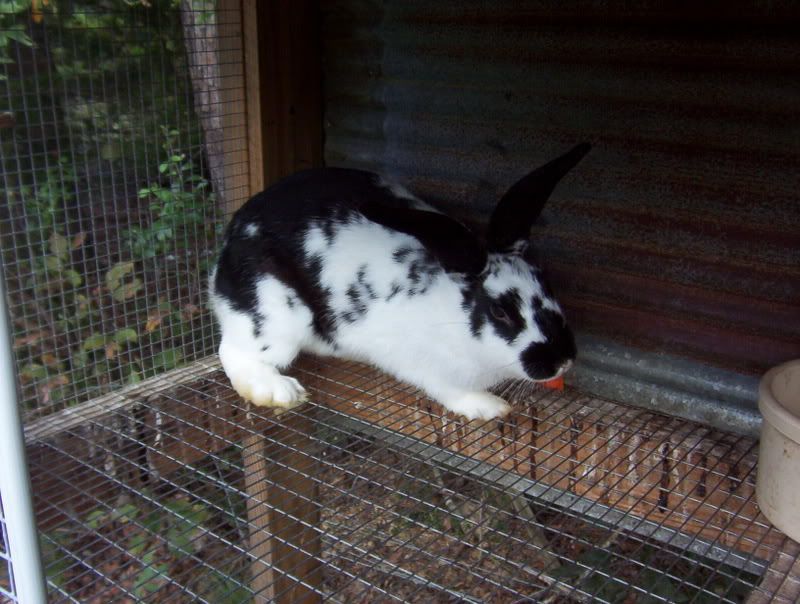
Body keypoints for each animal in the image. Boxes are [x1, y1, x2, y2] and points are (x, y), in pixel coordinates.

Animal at [209, 143, 590, 420]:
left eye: (547, 284)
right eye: (500, 312)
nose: (562, 361)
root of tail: (229, 241)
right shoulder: (427, 367)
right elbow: (451, 392)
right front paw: (490, 407)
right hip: (275, 317)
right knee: (233, 352)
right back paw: (280, 392)